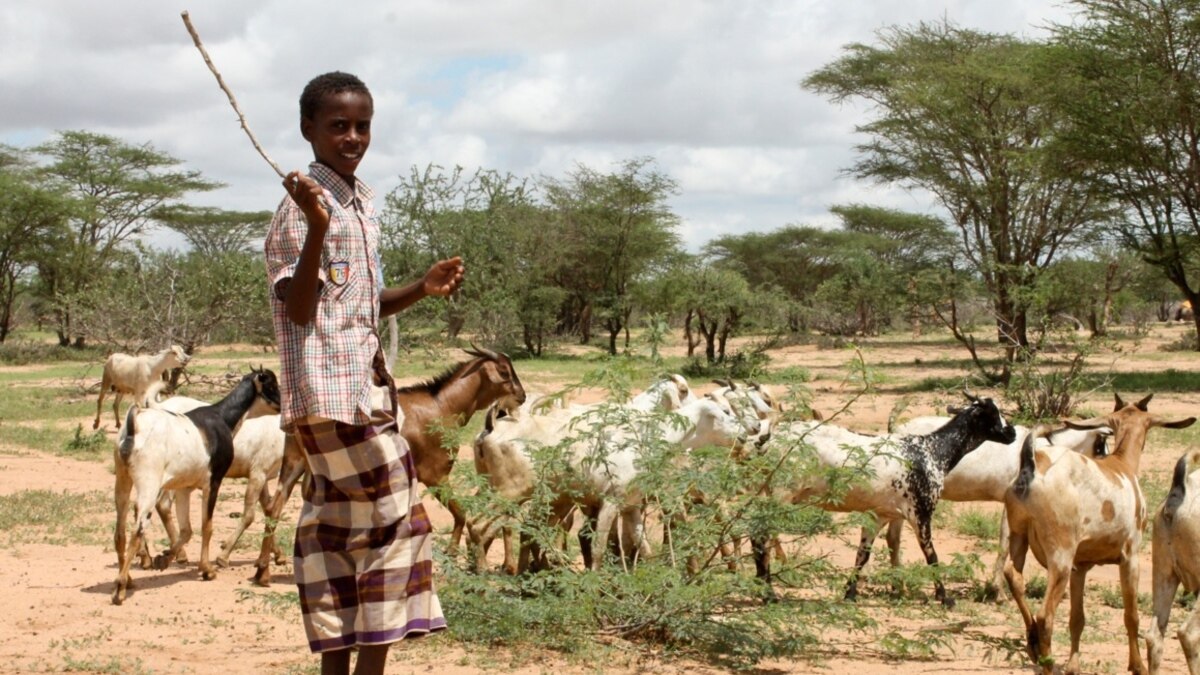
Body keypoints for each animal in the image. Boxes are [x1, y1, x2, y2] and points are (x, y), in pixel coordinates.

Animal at [111, 365, 282, 600]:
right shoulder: (221, 480)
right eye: (272, 385)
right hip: (150, 483)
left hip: (123, 480)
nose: (284, 405)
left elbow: (189, 530)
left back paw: (129, 577)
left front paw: (164, 558)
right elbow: (209, 525)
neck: (220, 417)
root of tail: (133, 423)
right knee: (139, 525)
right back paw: (121, 587)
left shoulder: (185, 488)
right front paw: (210, 567)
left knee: (121, 530)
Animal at [246, 345, 523, 583]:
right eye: (504, 371)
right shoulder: (435, 475)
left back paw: (263, 571)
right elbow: (460, 513)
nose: (522, 395)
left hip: (295, 464)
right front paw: (452, 554)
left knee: (274, 507)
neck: (442, 406)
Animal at [753, 389, 1017, 605]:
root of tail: (769, 444)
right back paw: (768, 594)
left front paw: (850, 593)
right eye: (993, 413)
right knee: (761, 538)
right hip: (781, 494)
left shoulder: (879, 514)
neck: (931, 451)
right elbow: (931, 554)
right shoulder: (920, 511)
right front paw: (944, 598)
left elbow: (863, 554)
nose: (1011, 433)